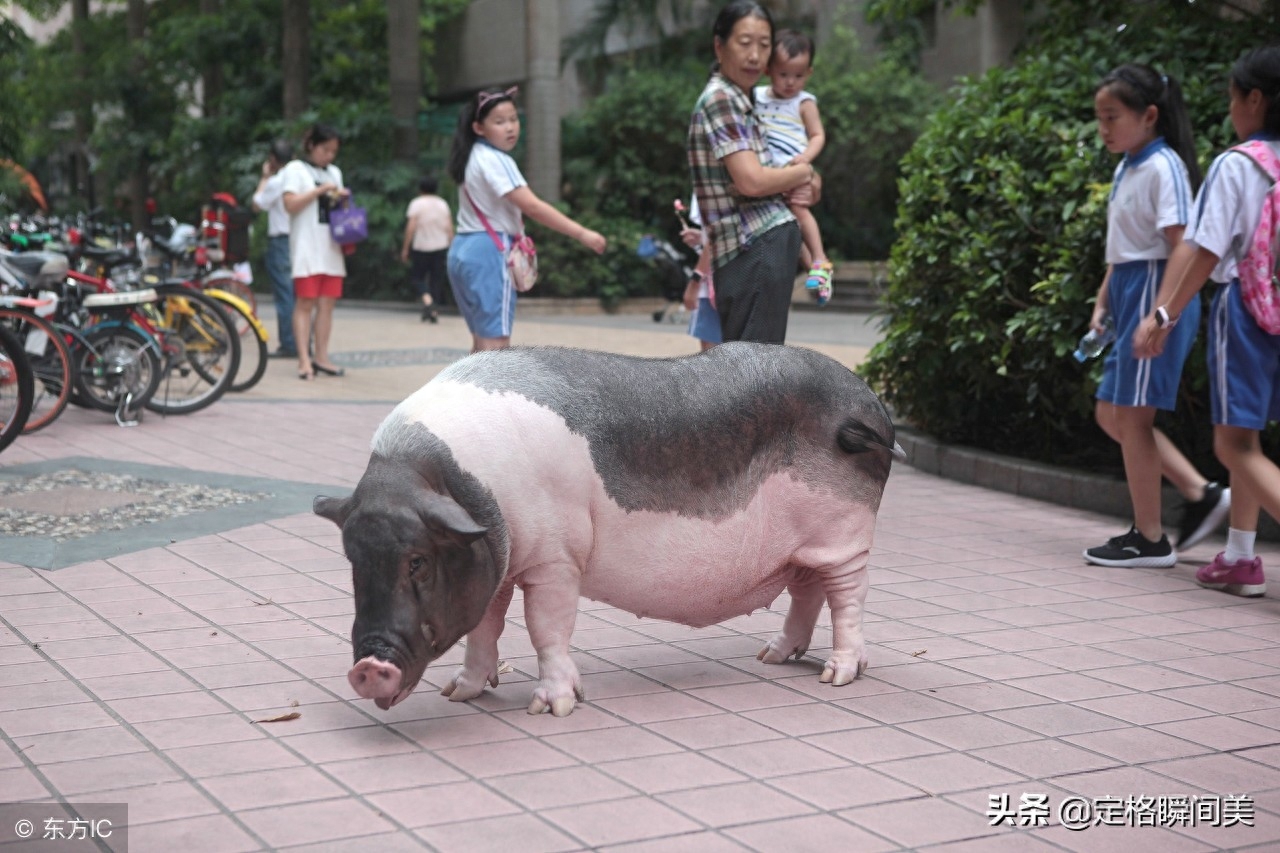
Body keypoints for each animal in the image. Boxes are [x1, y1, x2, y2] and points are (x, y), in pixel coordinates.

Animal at [317, 343, 901, 712]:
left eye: (417, 560)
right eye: (352, 559)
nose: (367, 666)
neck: (457, 483)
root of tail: (871, 403)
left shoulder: (556, 557)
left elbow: (545, 627)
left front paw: (551, 709)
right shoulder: (501, 559)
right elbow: (486, 624)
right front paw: (459, 694)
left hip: (845, 532)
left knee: (849, 596)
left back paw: (836, 675)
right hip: (802, 547)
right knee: (807, 591)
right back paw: (772, 657)